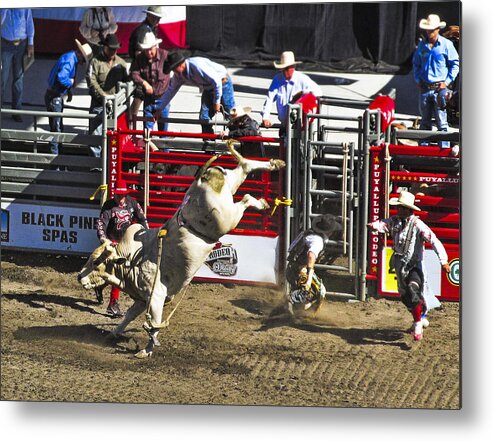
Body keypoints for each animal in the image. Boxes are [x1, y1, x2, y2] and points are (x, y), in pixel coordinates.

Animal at [77, 141, 284, 358]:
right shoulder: (142, 299)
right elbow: (129, 316)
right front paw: (114, 333)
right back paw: (273, 166)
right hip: (228, 190)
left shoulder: (156, 296)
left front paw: (147, 349)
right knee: (244, 168)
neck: (132, 259)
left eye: (96, 262)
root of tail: (199, 181)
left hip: (226, 217)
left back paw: (261, 200)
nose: (79, 276)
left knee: (245, 198)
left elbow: (154, 324)